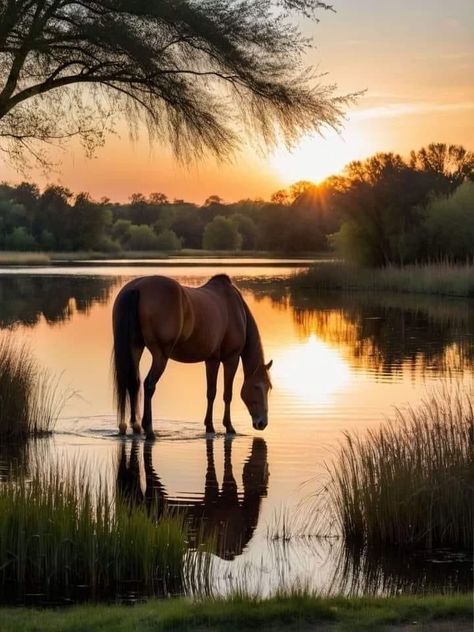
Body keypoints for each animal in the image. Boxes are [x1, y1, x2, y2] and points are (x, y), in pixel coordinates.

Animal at [112, 274, 272, 442]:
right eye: (259, 386)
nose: (262, 423)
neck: (236, 309)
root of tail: (136, 287)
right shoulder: (231, 359)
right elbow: (226, 394)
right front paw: (229, 426)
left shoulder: (211, 360)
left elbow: (211, 392)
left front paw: (209, 426)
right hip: (160, 356)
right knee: (148, 385)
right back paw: (149, 430)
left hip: (135, 348)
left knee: (132, 383)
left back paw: (132, 427)